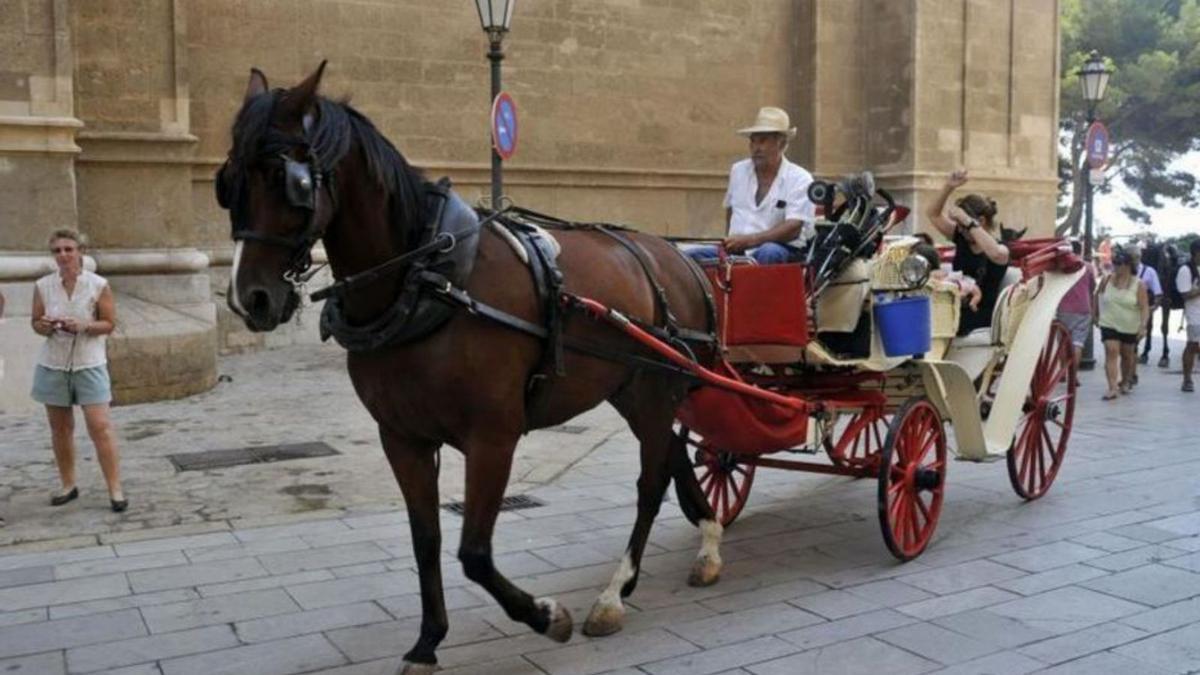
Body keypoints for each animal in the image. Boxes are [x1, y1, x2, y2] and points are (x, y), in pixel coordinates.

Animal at [220, 61, 724, 667]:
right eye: (228, 181)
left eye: (288, 180)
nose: (250, 298)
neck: (428, 281)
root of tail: (679, 257)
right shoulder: (402, 438)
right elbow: (428, 539)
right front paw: (426, 642)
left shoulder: (492, 437)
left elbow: (475, 552)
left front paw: (545, 616)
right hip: (630, 391)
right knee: (674, 455)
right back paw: (707, 539)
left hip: (655, 391)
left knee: (651, 482)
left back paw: (613, 594)